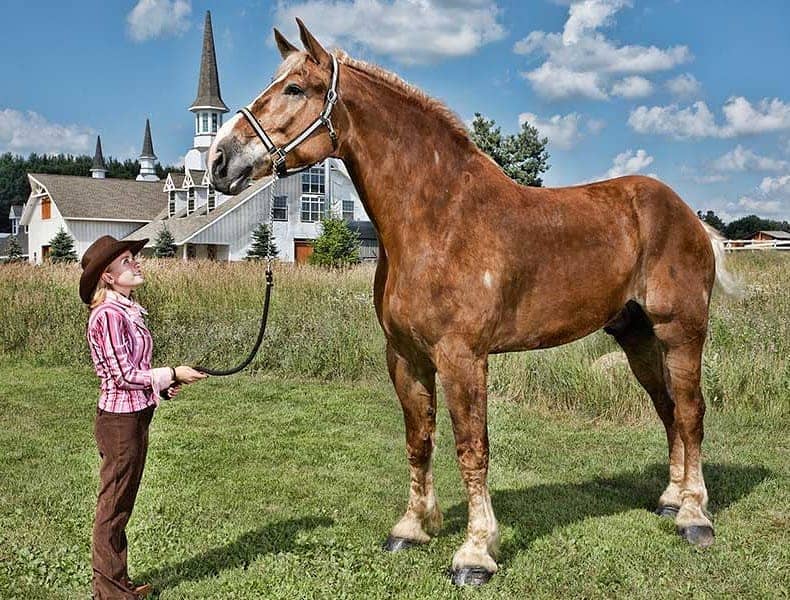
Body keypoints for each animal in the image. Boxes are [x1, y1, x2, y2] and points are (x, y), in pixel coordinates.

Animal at [208, 19, 738, 585]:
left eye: (294, 89)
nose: (219, 160)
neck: (438, 220)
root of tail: (689, 217)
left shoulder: (462, 357)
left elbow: (471, 448)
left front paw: (476, 552)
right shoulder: (406, 356)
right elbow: (420, 439)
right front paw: (412, 527)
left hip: (681, 332)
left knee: (690, 411)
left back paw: (694, 516)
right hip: (637, 335)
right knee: (667, 409)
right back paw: (670, 499)